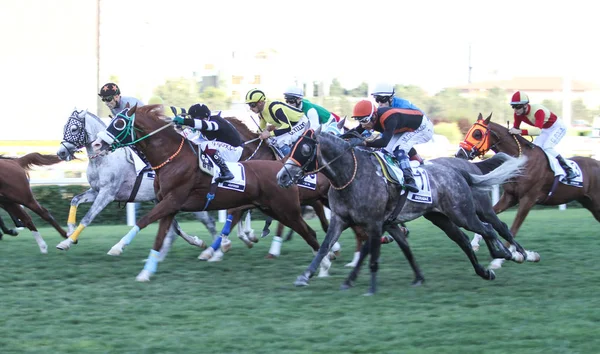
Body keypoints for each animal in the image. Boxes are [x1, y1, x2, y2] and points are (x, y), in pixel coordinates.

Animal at [55, 108, 217, 258]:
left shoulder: (107, 193)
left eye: (74, 129)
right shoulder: (96, 191)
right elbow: (75, 200)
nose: (61, 153)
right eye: (64, 128)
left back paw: (212, 250)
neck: (104, 158)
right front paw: (70, 232)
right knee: (174, 229)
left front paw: (67, 242)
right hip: (162, 200)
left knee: (208, 222)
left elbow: (88, 217)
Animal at [92, 105, 332, 282]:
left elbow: (142, 221)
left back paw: (324, 262)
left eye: (119, 123)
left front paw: (117, 247)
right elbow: (160, 237)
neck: (172, 159)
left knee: (310, 232)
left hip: (287, 209)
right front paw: (146, 272)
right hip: (275, 209)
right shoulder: (169, 206)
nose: (96, 144)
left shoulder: (172, 201)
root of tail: (283, 168)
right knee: (311, 229)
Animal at [276, 126, 524, 294]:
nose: (282, 177)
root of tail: (458, 171)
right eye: (291, 147)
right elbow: (325, 247)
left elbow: (370, 253)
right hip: (440, 217)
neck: (351, 176)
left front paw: (364, 284)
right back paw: (486, 270)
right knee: (463, 239)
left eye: (305, 148)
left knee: (489, 227)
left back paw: (508, 253)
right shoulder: (342, 219)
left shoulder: (375, 223)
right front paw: (305, 276)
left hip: (462, 213)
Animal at [454, 114, 600, 268]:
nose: (459, 154)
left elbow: (513, 229)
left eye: (477, 134)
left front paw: (499, 261)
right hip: (589, 203)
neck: (522, 160)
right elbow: (490, 217)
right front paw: (475, 243)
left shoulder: (528, 200)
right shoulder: (510, 197)